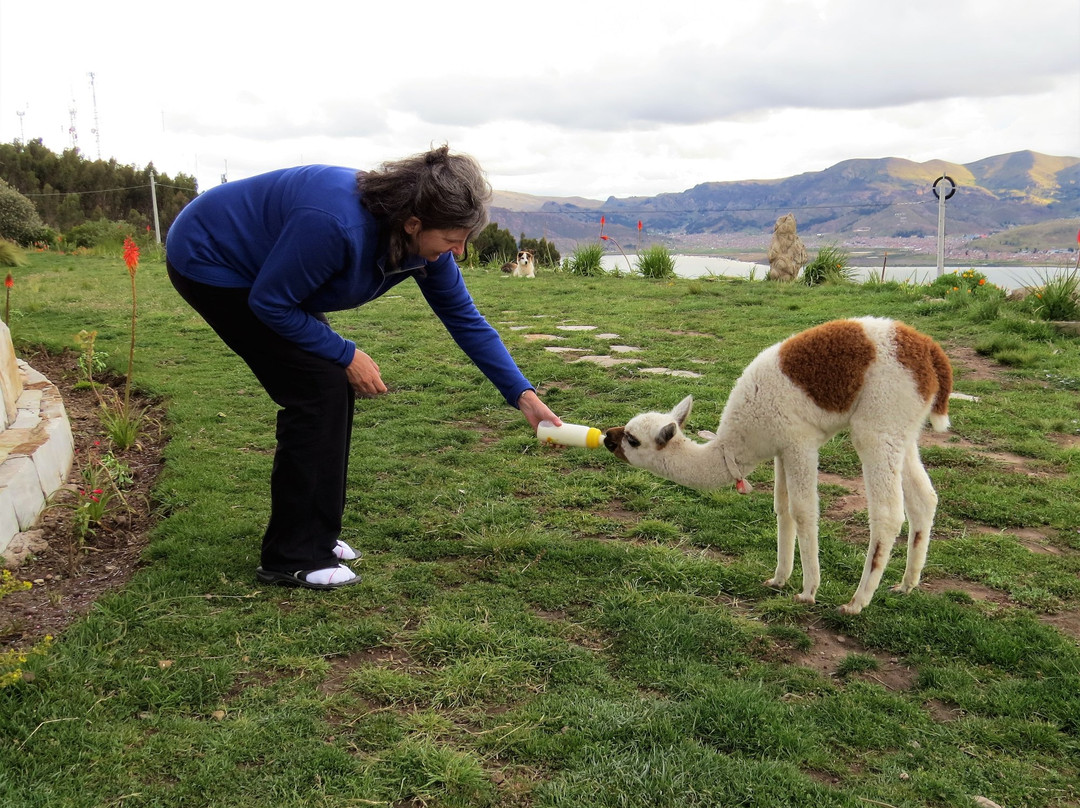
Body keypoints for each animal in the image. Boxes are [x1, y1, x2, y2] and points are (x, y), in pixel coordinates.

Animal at [604, 315, 950, 613]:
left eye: (632, 439)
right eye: (625, 429)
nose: (608, 437)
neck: (737, 444)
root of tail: (931, 352)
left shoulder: (800, 443)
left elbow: (804, 511)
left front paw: (808, 591)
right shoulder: (781, 449)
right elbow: (783, 509)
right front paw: (779, 578)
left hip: (879, 423)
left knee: (888, 513)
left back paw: (857, 602)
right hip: (904, 429)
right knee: (925, 499)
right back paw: (906, 584)